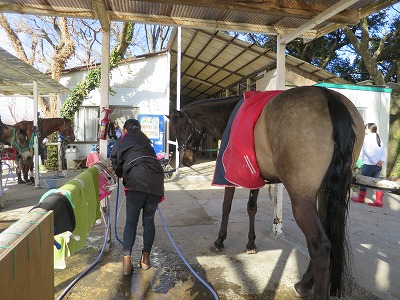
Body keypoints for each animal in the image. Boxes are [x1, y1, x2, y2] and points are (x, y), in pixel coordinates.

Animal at [166, 85, 366, 298]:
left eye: (180, 128)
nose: (186, 159)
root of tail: (328, 96)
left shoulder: (230, 175)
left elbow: (226, 206)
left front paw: (220, 240)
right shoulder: (253, 177)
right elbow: (251, 208)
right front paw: (251, 243)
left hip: (302, 199)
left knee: (321, 245)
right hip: (324, 193)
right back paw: (304, 282)